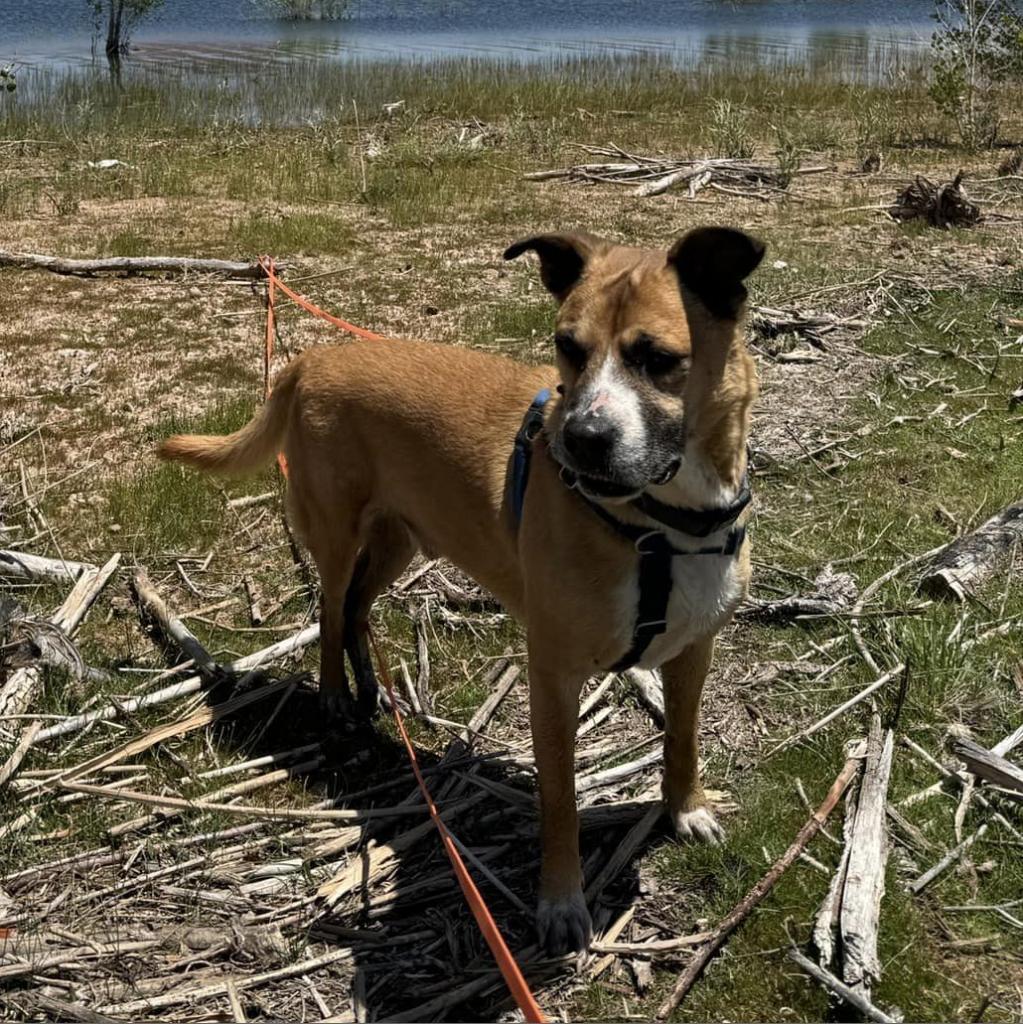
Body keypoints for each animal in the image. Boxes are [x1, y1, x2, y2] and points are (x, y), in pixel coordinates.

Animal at [159, 222, 765, 950]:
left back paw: (369, 692)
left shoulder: (692, 651)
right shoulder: (553, 677)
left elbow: (683, 737)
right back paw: (334, 698)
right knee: (330, 610)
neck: (661, 526)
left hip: (400, 539)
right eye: (567, 347)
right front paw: (560, 900)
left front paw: (684, 807)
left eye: (657, 358)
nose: (580, 439)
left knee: (357, 607)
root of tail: (313, 359)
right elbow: (560, 801)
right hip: (334, 533)